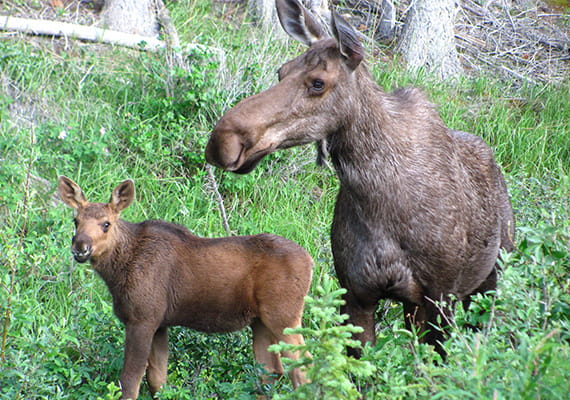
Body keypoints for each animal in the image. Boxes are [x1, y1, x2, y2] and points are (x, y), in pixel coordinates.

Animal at [56, 177, 310, 398]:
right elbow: (158, 381)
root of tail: (311, 262)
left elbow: (129, 382)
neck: (117, 273)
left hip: (284, 316)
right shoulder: (160, 324)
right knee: (270, 373)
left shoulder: (142, 318)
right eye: (75, 221)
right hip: (260, 323)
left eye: (106, 224)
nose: (80, 247)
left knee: (302, 368)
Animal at [205, 0, 516, 358]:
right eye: (281, 71)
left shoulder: (441, 295)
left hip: (494, 277)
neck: (377, 199)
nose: (222, 141)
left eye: (318, 82)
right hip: (415, 305)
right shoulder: (356, 292)